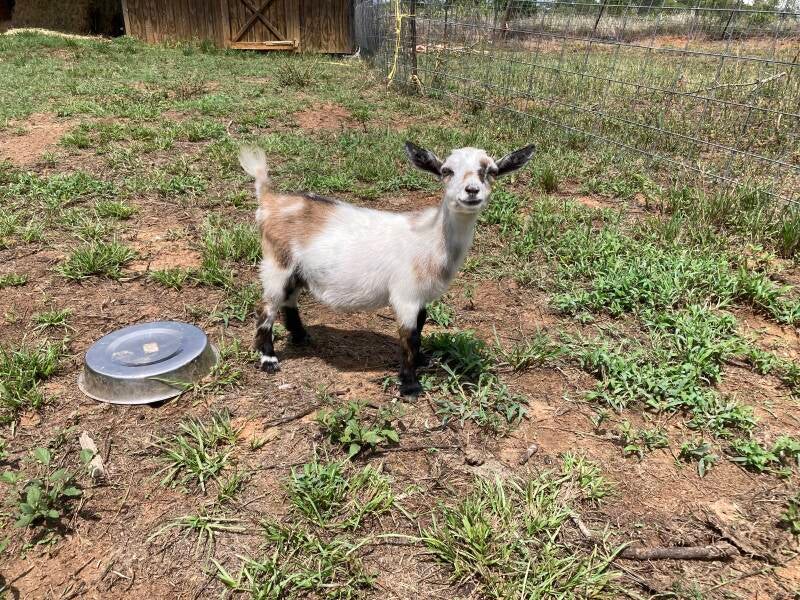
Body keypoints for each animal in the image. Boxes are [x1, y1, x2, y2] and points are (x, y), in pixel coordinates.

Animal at [239, 141, 535, 397]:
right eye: (446, 171)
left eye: (491, 171)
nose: (472, 191)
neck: (431, 239)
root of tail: (270, 200)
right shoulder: (406, 294)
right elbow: (409, 336)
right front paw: (410, 385)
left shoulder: (420, 296)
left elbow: (422, 324)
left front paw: (422, 359)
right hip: (277, 261)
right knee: (266, 306)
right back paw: (268, 358)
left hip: (296, 268)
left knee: (289, 298)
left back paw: (301, 336)